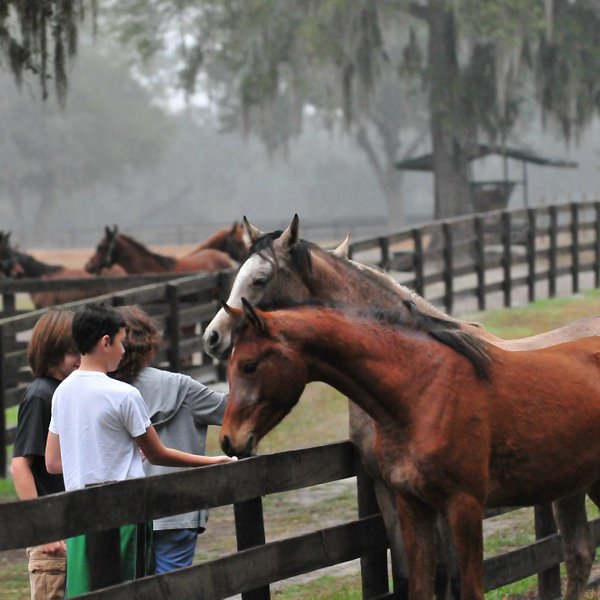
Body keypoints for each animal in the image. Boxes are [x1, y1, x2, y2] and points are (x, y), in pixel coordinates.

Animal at [203, 216, 600, 600]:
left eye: (260, 278)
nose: (212, 337)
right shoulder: (393, 493)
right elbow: (413, 578)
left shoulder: (458, 503)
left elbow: (454, 580)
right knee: (579, 553)